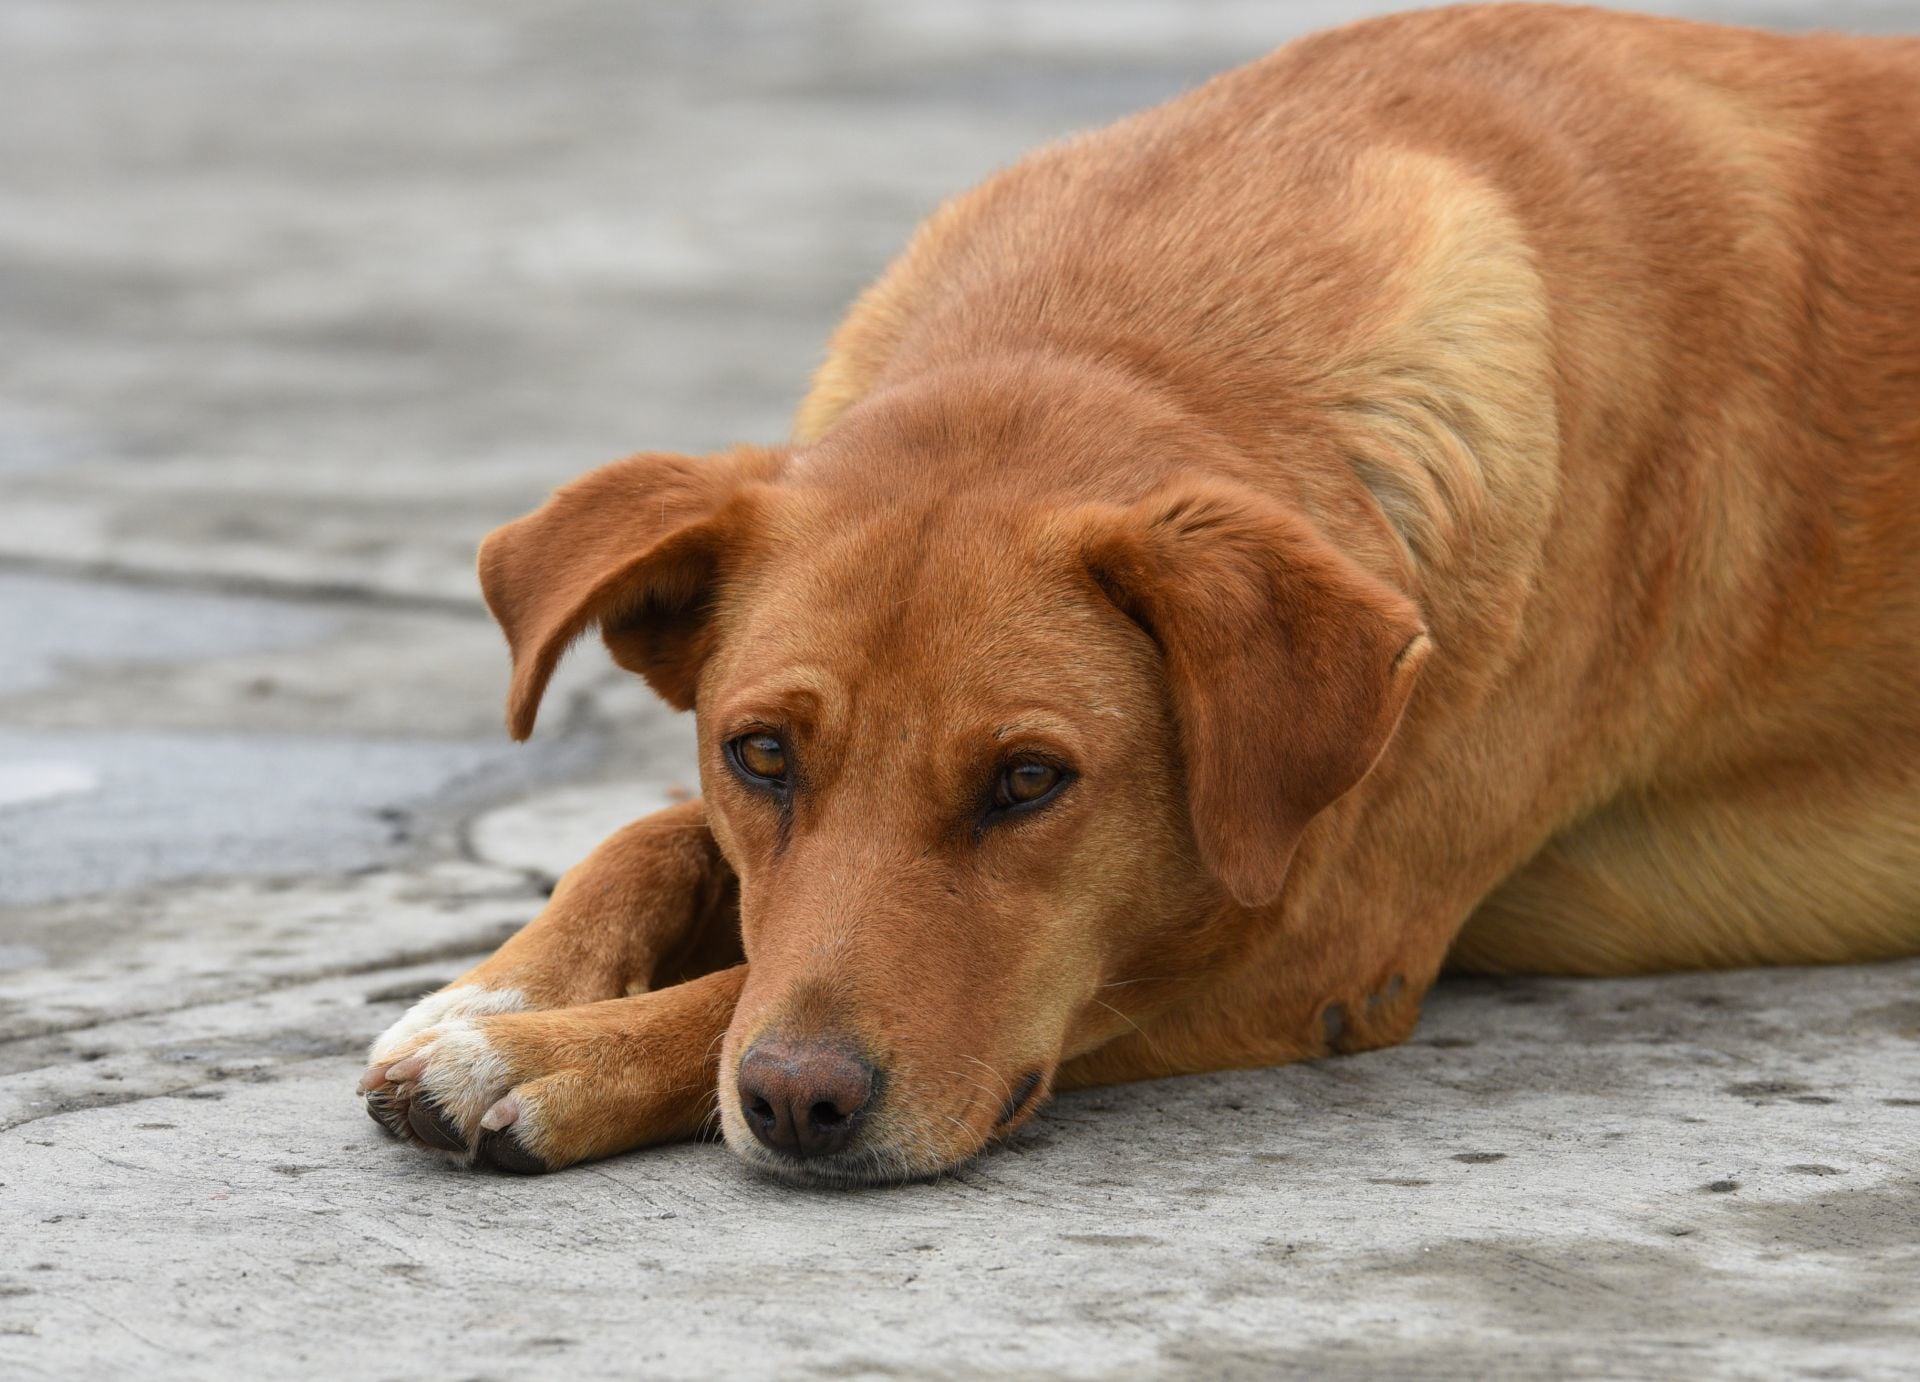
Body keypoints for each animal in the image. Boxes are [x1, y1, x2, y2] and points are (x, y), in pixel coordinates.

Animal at [353, 5, 1912, 1182]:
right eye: (762, 755)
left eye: (1031, 781)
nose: (798, 1102)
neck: (1123, 326)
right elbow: (651, 838)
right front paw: (496, 991)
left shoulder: (1301, 941)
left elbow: (741, 982)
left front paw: (553, 1054)